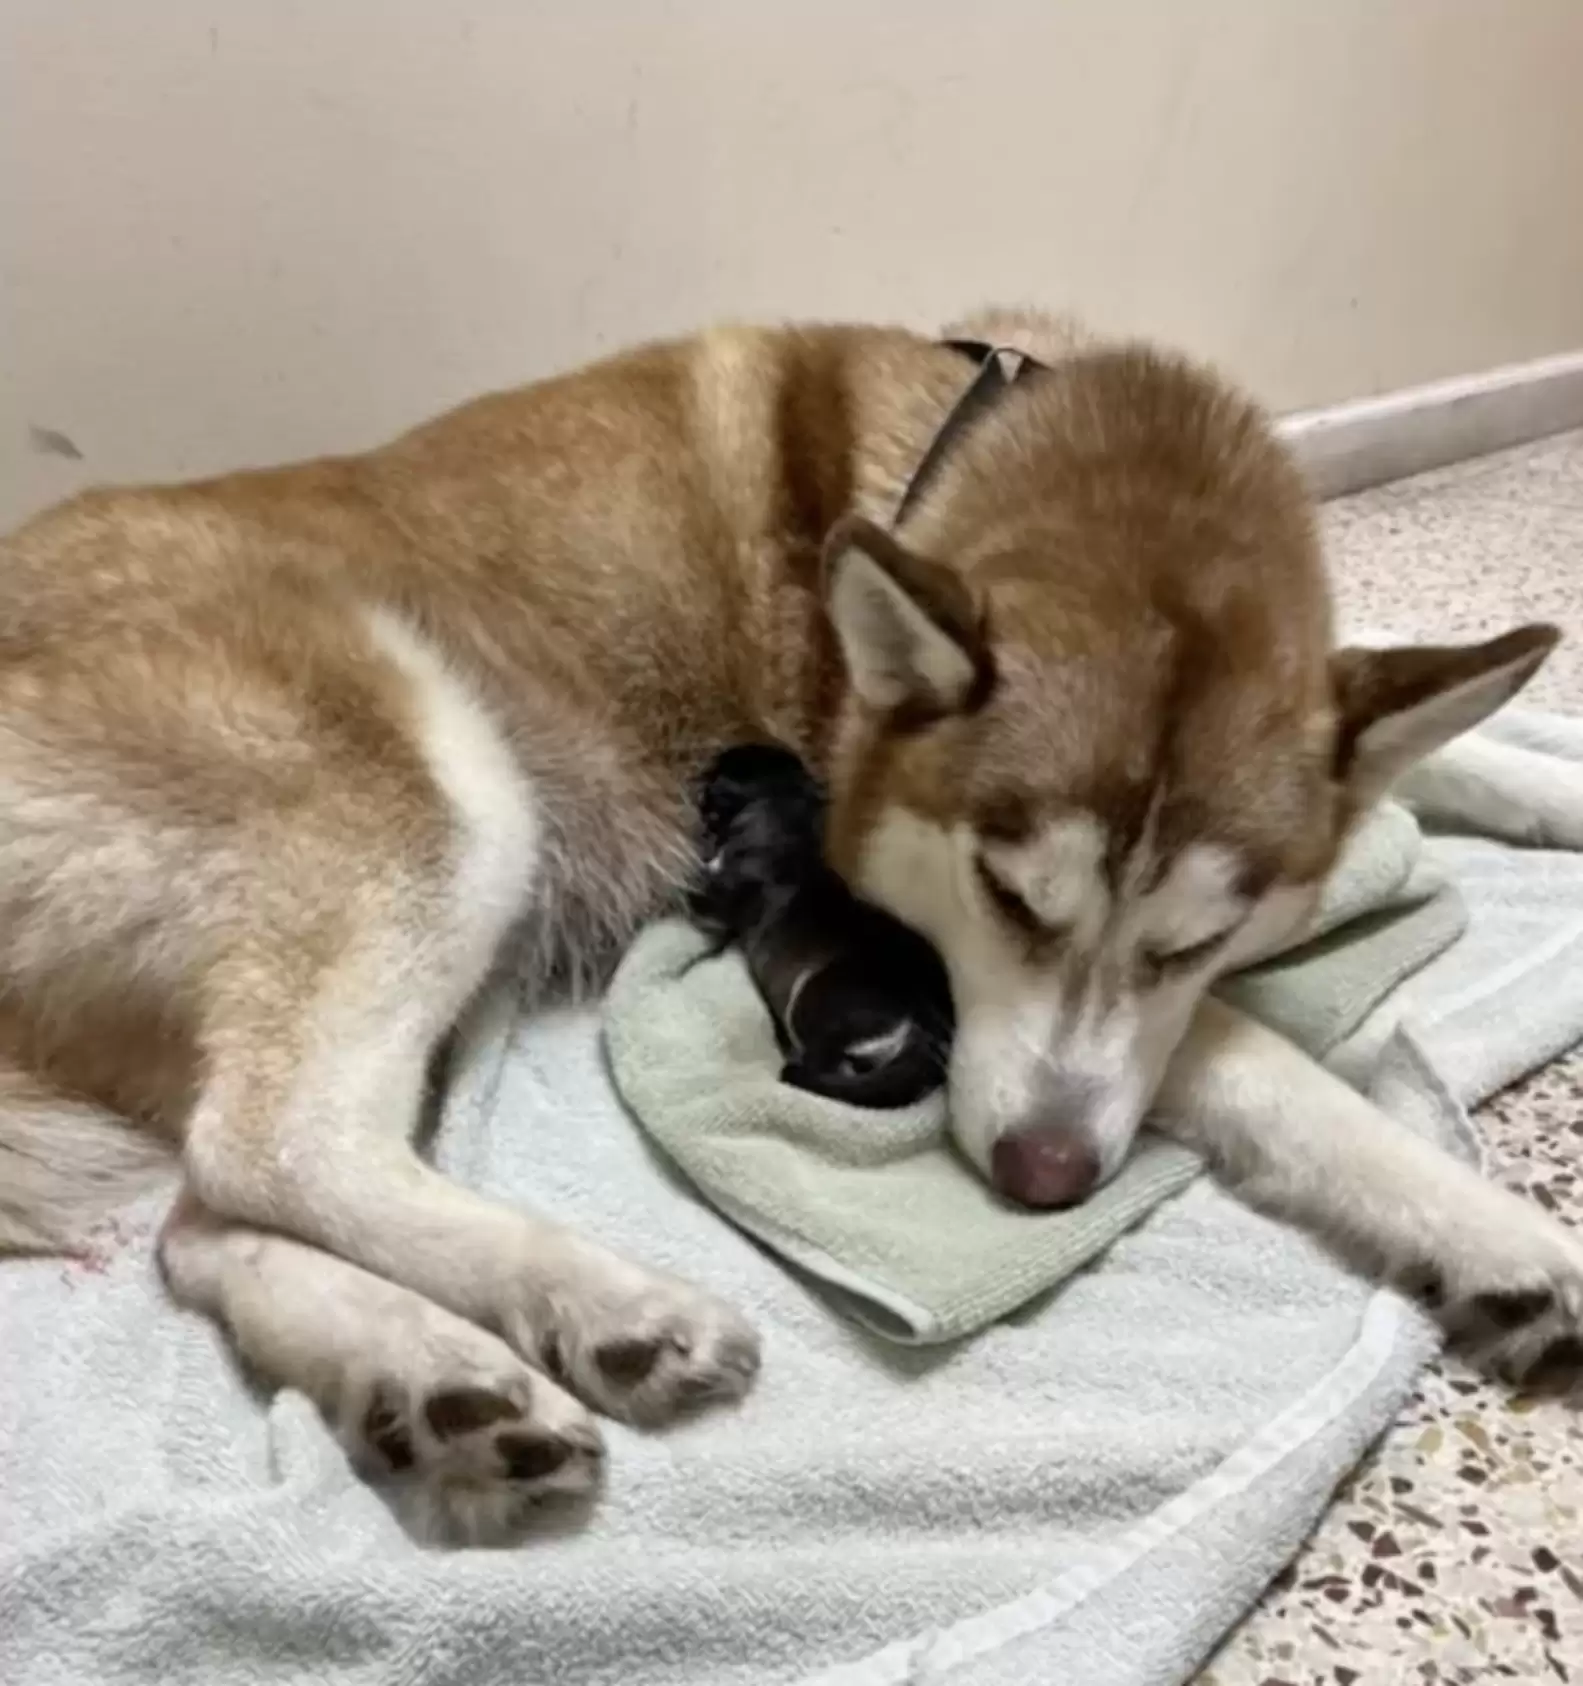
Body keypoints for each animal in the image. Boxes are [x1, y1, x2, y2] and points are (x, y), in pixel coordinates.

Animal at [691, 741, 950, 1106]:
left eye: (712, 786)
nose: (697, 778)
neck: (785, 823)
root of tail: (925, 1026)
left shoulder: (717, 900)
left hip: (811, 999)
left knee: (825, 1065)